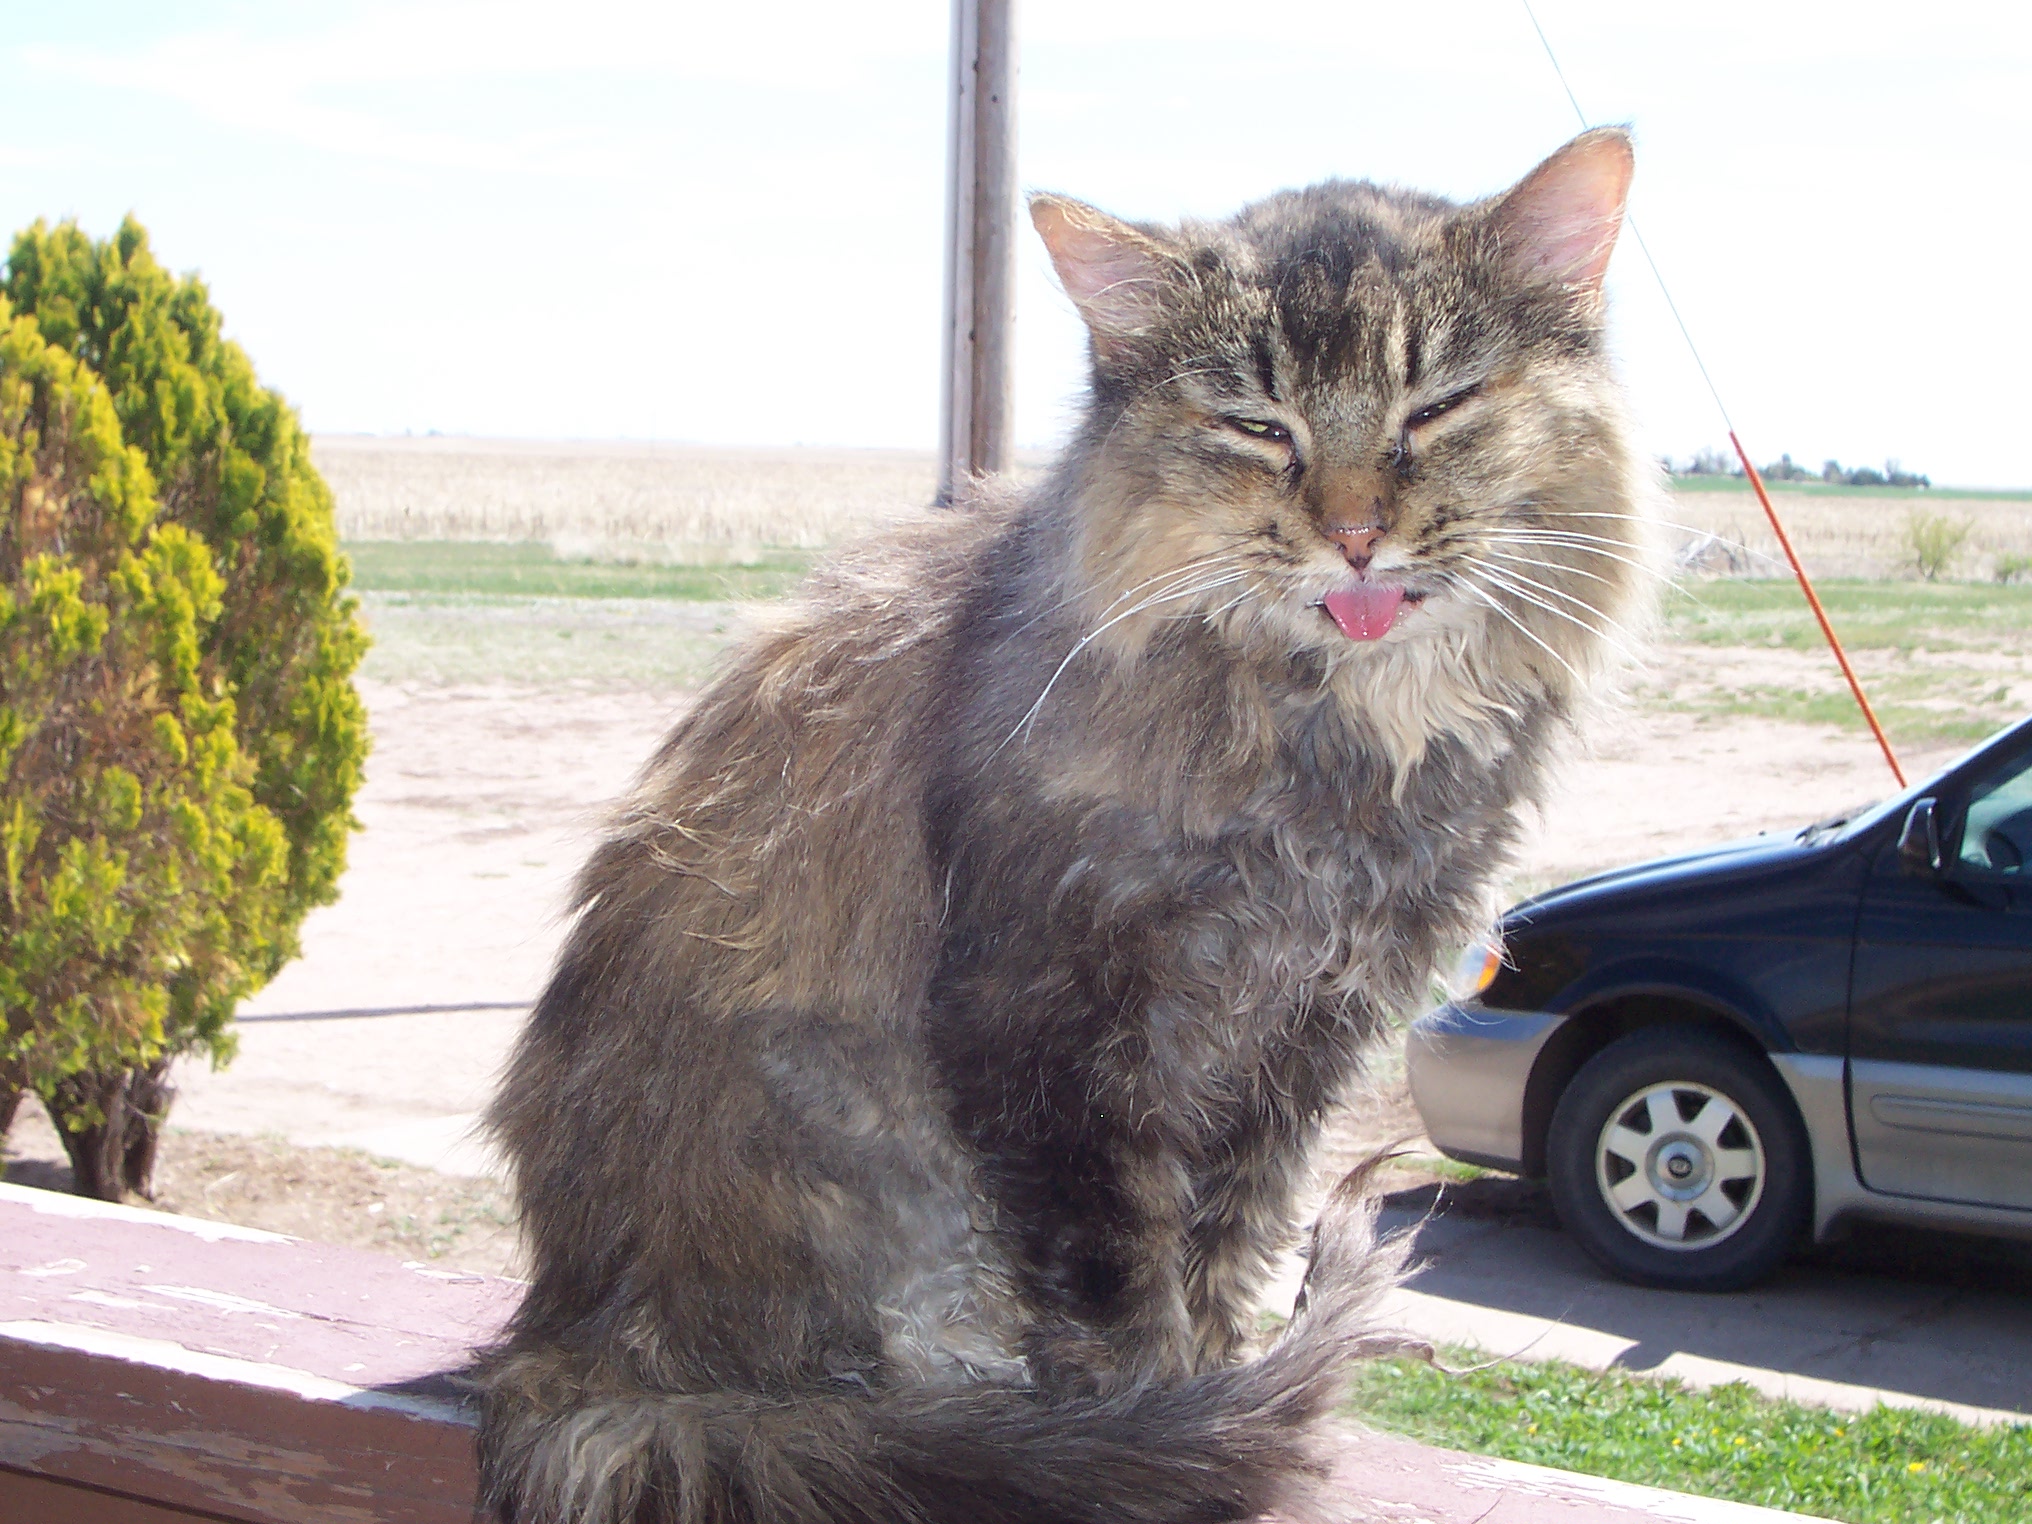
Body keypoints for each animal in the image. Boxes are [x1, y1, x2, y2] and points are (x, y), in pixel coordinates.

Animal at [475, 131, 1649, 1524]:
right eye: (1258, 427)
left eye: (1437, 408)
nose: (1356, 534)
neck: (1339, 749)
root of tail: (561, 1345)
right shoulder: (1057, 1028)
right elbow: (1116, 1287)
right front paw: (1175, 1428)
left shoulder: (1295, 1043)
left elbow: (1223, 1248)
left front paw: (1217, 1392)